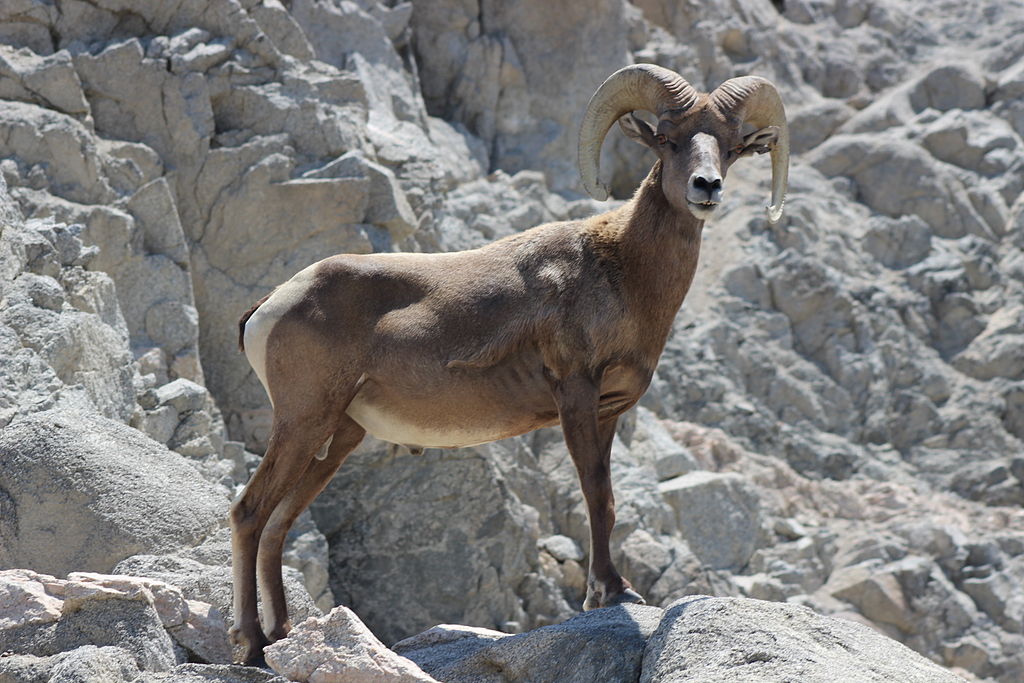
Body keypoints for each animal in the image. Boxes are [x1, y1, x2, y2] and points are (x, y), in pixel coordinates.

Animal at [232, 63, 786, 663]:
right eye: (667, 138)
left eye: (732, 147)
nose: (706, 187)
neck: (623, 271)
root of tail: (271, 305)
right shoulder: (575, 394)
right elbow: (597, 492)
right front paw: (614, 592)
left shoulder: (610, 412)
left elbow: (607, 499)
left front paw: (606, 591)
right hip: (302, 422)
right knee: (249, 513)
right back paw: (251, 644)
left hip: (336, 438)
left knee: (277, 524)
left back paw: (280, 637)